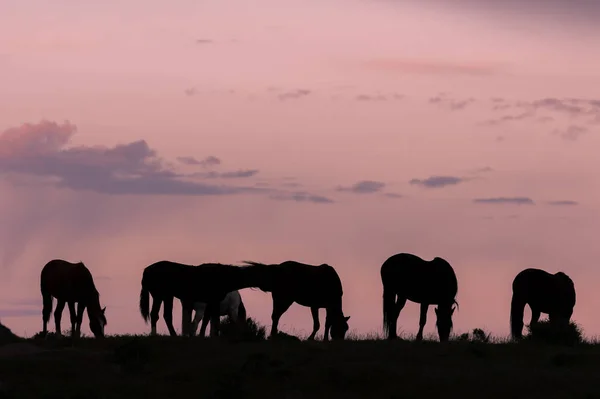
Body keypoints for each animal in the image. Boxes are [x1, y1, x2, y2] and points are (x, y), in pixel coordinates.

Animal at [139, 262, 274, 338]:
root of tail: (146, 270)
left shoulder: (212, 304)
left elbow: (209, 321)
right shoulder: (213, 303)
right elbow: (212, 322)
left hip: (164, 296)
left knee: (161, 315)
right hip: (162, 295)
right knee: (160, 315)